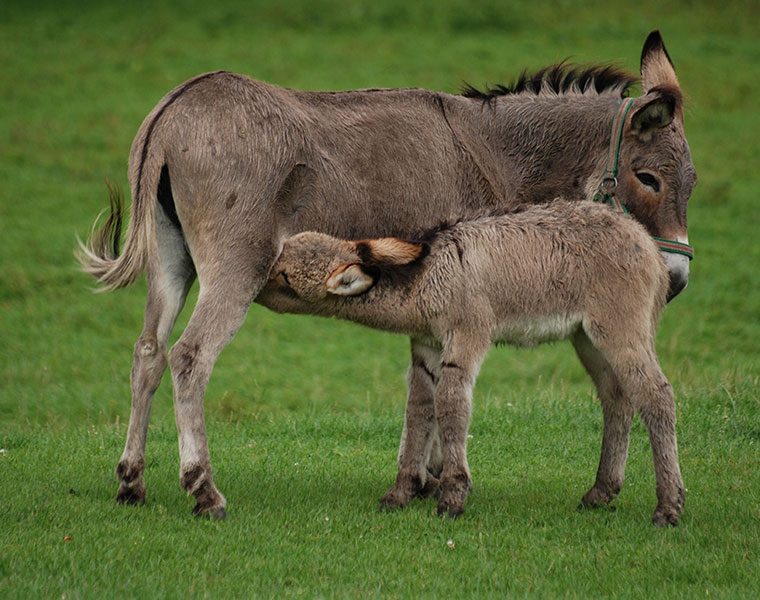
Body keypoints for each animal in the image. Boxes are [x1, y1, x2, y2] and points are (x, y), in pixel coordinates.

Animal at [262, 202, 684, 524]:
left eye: (284, 276)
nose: (256, 282)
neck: (429, 276)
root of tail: (645, 240)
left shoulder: (466, 336)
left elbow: (451, 405)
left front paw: (452, 497)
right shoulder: (427, 346)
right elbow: (419, 409)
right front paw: (400, 493)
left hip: (620, 328)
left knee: (656, 397)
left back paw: (668, 506)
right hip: (587, 339)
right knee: (618, 399)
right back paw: (601, 491)